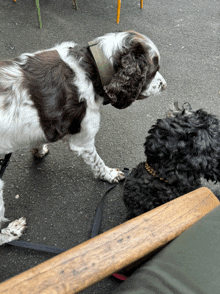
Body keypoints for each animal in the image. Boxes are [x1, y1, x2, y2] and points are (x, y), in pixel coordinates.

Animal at [0, 31, 165, 245]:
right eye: (154, 71)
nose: (165, 85)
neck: (91, 68)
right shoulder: (84, 140)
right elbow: (98, 162)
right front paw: (110, 174)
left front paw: (39, 150)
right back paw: (13, 230)